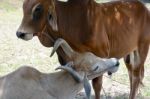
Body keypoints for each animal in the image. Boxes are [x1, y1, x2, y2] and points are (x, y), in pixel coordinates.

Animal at [16, 0, 150, 98]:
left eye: (38, 8)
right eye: (24, 5)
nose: (20, 33)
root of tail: (143, 7)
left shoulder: (100, 57)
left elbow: (97, 86)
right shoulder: (65, 60)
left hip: (142, 49)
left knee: (136, 77)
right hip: (129, 54)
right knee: (132, 75)